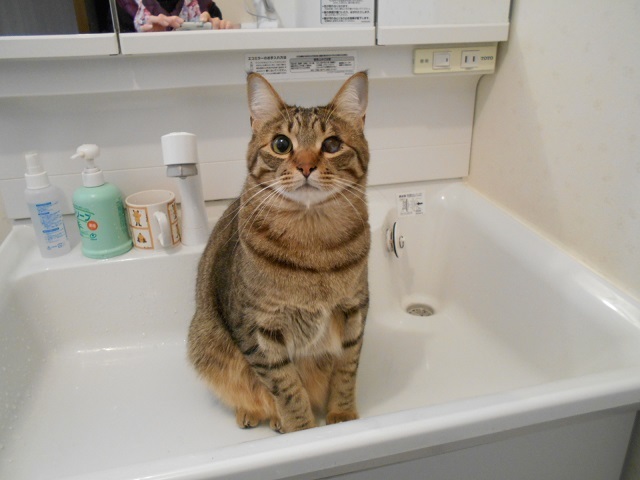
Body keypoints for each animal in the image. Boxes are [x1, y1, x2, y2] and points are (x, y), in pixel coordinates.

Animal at [187, 71, 370, 433]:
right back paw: (259, 415)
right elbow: (286, 388)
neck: (314, 244)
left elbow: (346, 371)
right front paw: (301, 429)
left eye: (332, 145)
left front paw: (342, 416)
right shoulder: (258, 329)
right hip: (205, 342)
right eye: (282, 144)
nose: (306, 167)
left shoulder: (355, 312)